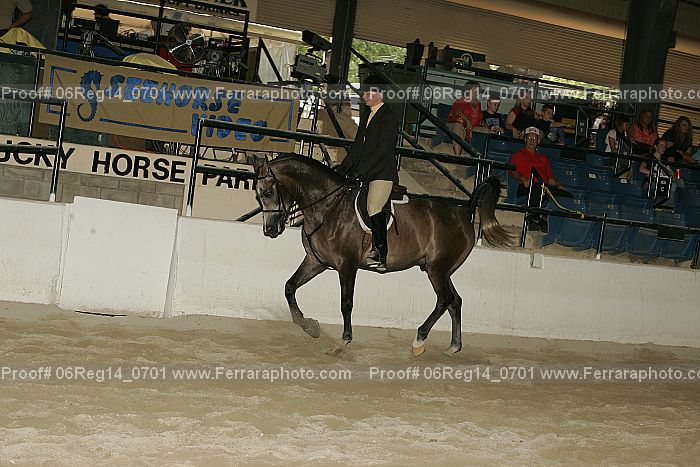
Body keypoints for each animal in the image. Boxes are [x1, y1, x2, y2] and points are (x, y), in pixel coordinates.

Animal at [253, 154, 510, 356]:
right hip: (441, 269)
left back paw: (419, 339)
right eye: (258, 196)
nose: (270, 230)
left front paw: (343, 341)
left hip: (437, 270)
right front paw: (308, 324)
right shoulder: (316, 261)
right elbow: (289, 286)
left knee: (444, 300)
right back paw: (453, 346)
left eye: (268, 192)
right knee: (455, 301)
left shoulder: (347, 265)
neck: (328, 206)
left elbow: (346, 303)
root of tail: (464, 214)